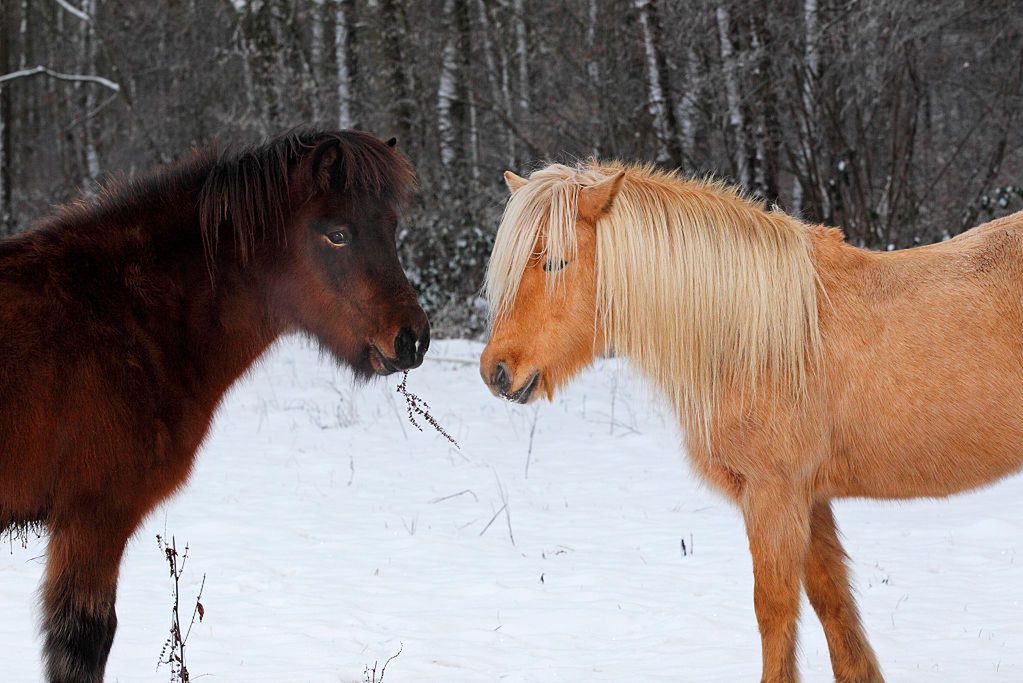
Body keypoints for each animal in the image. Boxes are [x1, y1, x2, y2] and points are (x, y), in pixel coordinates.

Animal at [0, 129, 427, 683]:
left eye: (392, 226)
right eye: (337, 234)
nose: (412, 338)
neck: (123, 314)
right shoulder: (93, 517)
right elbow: (80, 644)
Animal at [476, 161, 1023, 683]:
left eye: (555, 261)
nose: (496, 372)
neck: (756, 341)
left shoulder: (773, 494)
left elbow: (775, 609)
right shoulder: (810, 497)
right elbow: (832, 602)